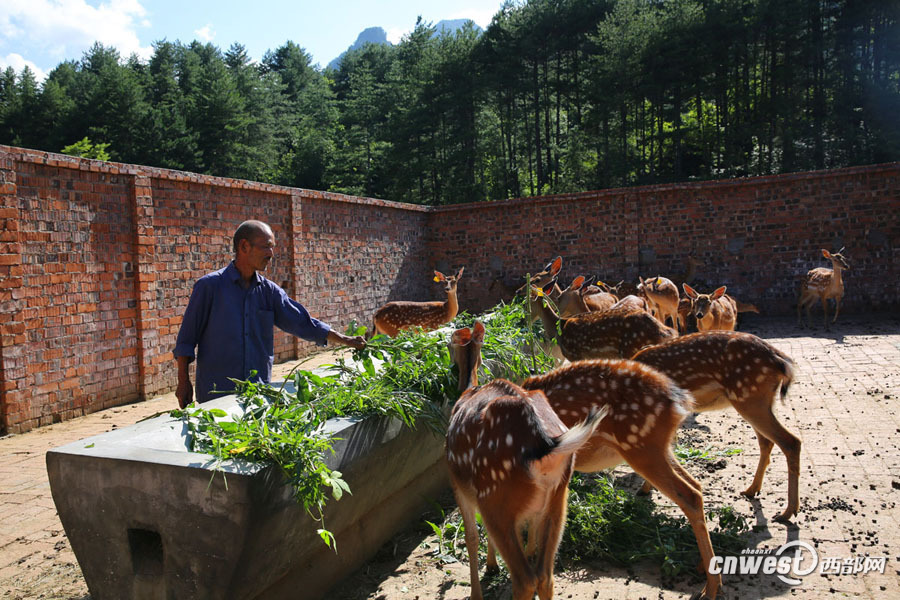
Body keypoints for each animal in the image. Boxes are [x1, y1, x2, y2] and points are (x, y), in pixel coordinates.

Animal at [448, 324, 608, 600]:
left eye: (447, 345)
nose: (450, 370)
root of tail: (545, 443)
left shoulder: (458, 485)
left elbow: (471, 537)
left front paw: (477, 591)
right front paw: (492, 566)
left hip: (494, 497)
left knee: (524, 580)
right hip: (559, 496)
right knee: (546, 577)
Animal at [628, 330, 800, 524]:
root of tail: (781, 360)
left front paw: (644, 489)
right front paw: (646, 489)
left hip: (750, 398)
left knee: (791, 441)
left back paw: (787, 512)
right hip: (758, 400)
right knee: (767, 442)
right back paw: (751, 490)